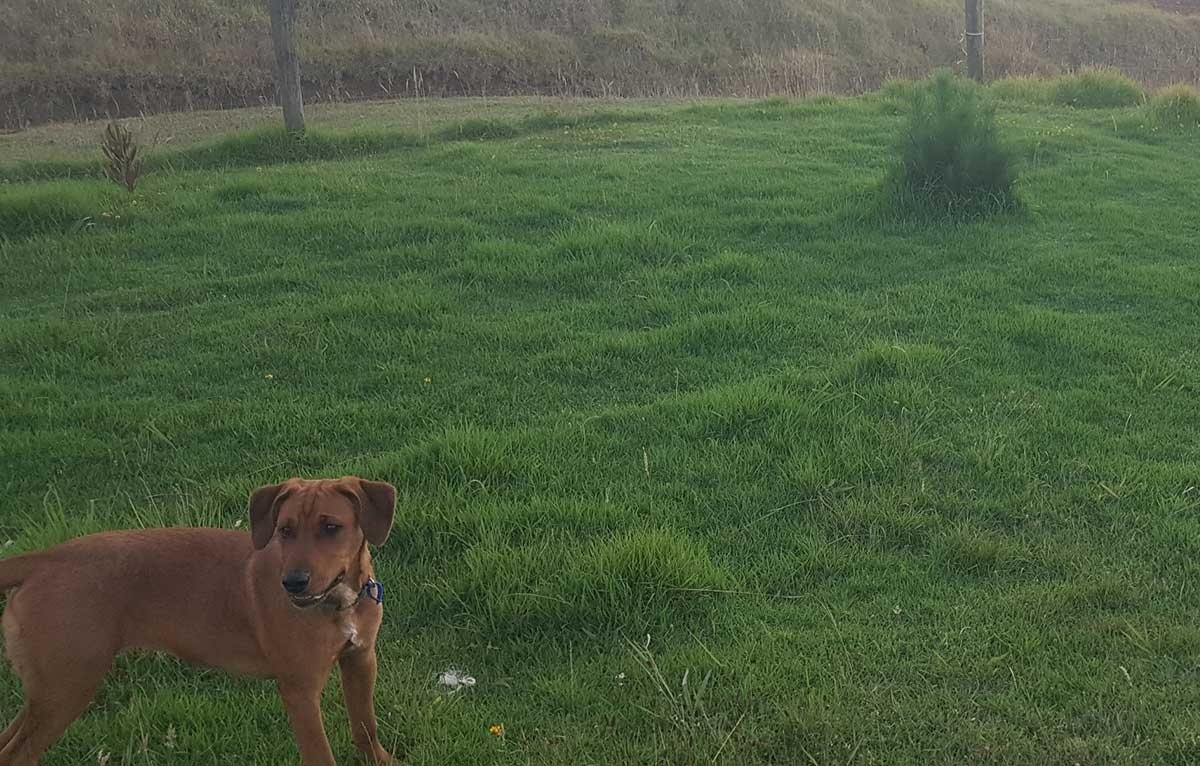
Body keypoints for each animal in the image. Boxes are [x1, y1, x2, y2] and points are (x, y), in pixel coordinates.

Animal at [0, 477, 398, 763]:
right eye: (284, 530)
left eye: (331, 527)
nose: (293, 582)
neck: (339, 603)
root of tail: (45, 558)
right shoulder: (300, 691)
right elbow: (320, 754)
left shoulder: (361, 660)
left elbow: (366, 726)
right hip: (67, 687)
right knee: (17, 754)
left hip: (50, 688)